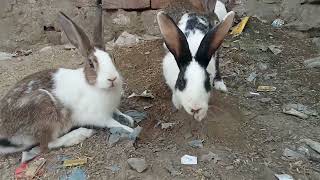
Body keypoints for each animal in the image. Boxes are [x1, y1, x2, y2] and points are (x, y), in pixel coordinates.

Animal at [0, 0, 134, 154]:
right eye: (91, 64)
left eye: (112, 57)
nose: (112, 79)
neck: (94, 85)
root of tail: (6, 133)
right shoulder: (99, 117)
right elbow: (113, 123)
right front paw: (130, 129)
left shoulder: (111, 109)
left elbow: (118, 112)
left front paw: (129, 118)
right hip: (45, 111)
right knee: (46, 146)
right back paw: (80, 134)